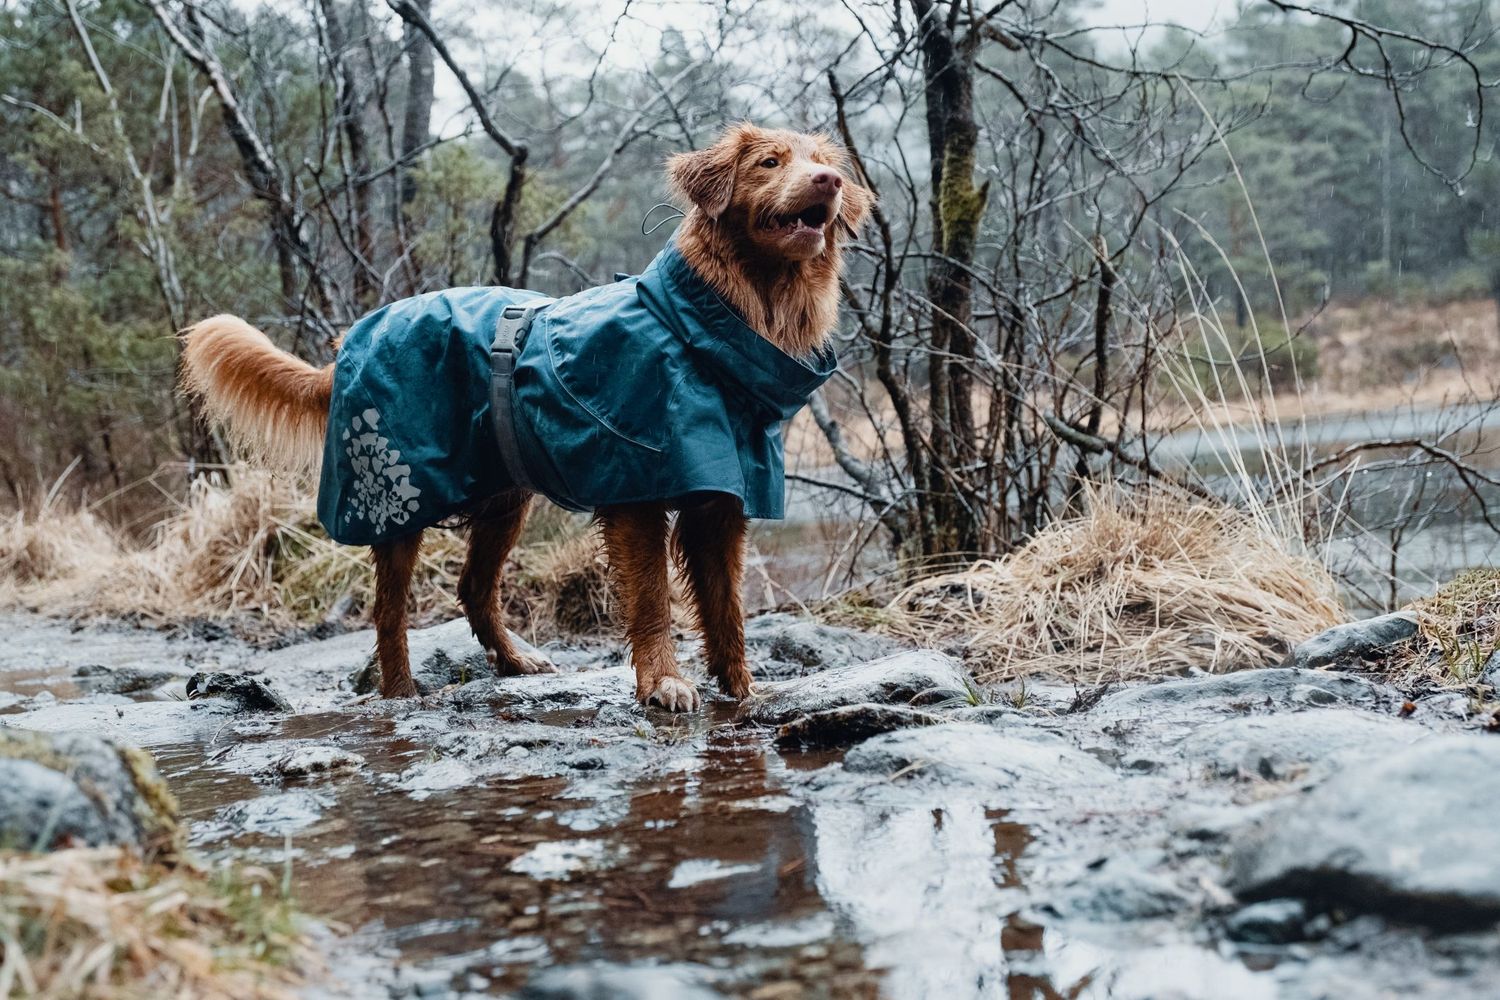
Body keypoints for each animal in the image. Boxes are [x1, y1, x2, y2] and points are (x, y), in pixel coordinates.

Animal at [181, 125, 876, 710]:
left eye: (819, 162)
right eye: (770, 163)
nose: (829, 182)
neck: (703, 331)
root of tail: (353, 338)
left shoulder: (722, 501)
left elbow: (727, 609)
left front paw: (742, 689)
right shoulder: (635, 492)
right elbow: (653, 597)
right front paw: (664, 682)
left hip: (504, 498)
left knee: (472, 589)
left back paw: (514, 664)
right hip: (394, 501)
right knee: (388, 611)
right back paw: (401, 694)